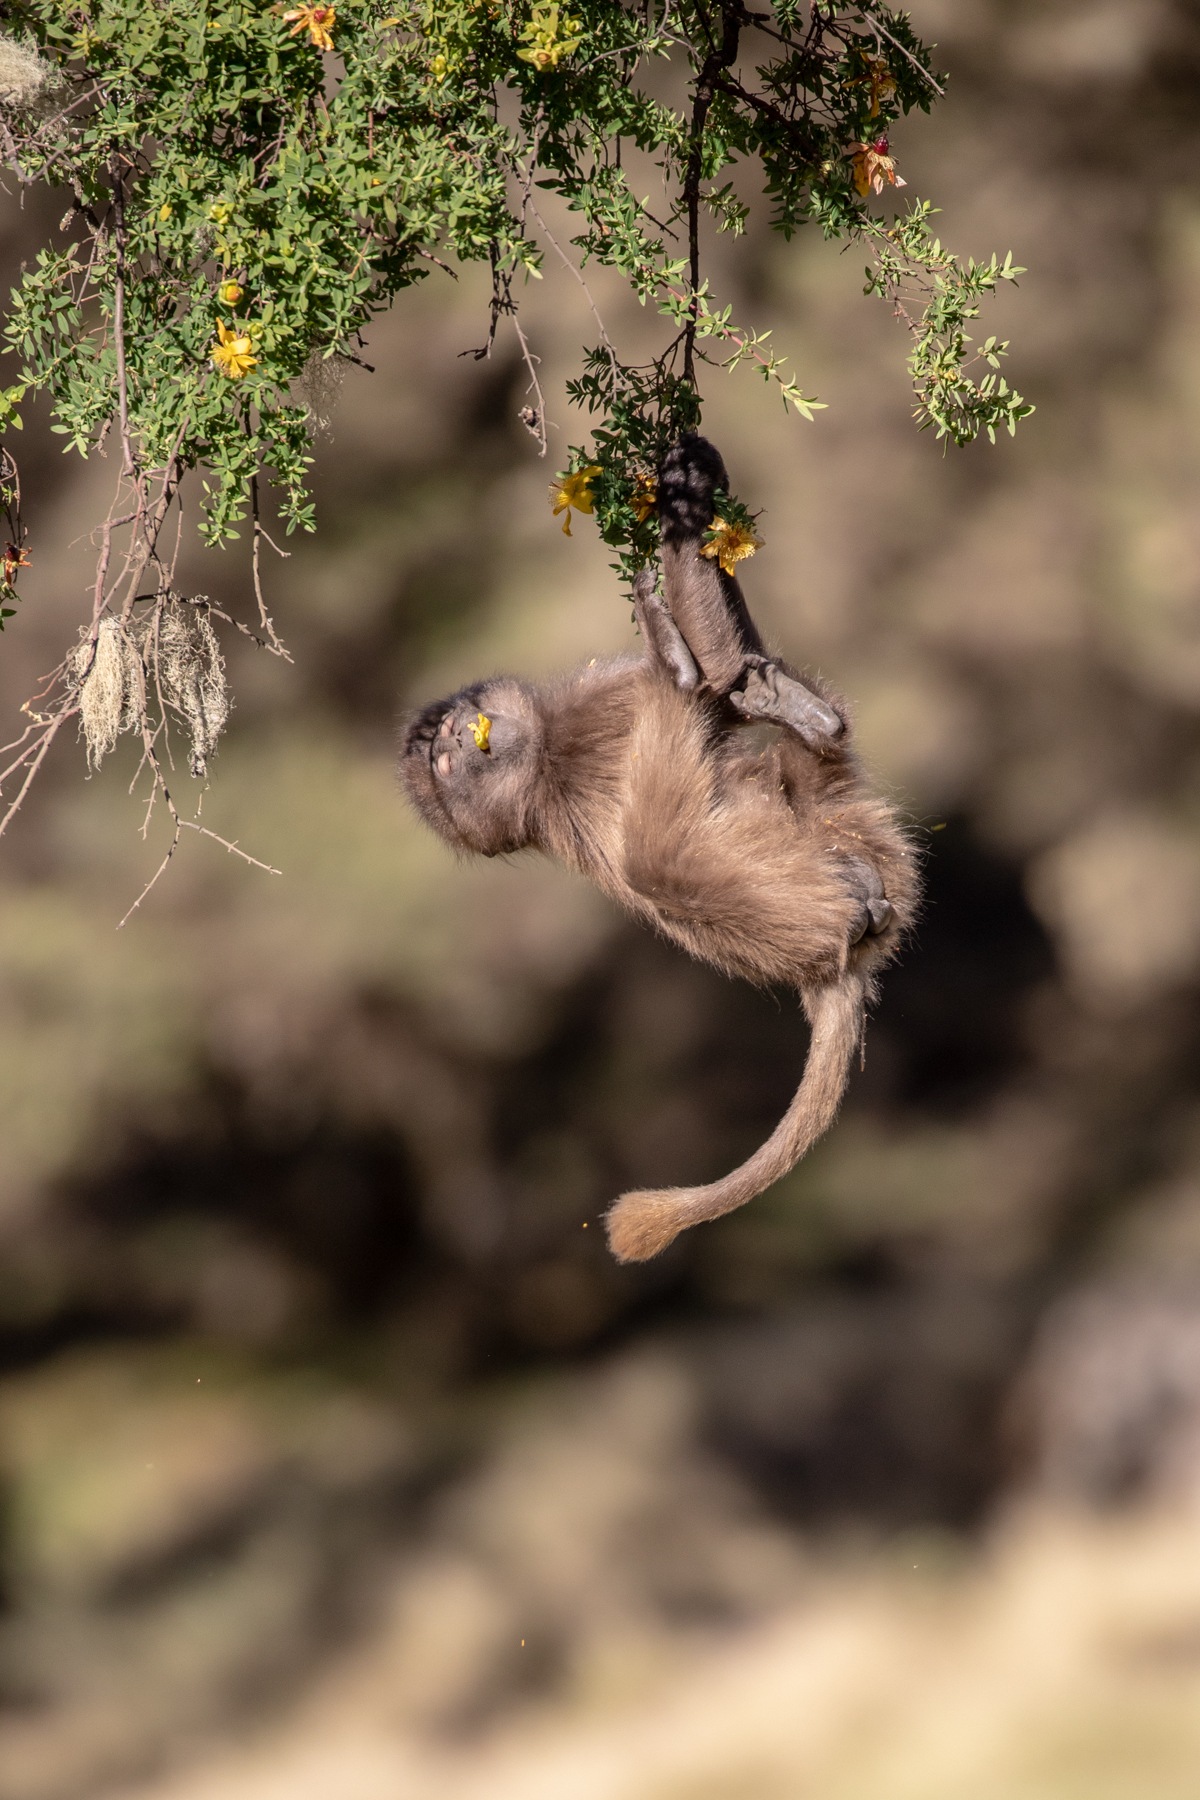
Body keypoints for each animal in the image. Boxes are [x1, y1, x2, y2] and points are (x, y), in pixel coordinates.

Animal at [401, 435, 920, 1263]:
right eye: (445, 768)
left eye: (448, 737)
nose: (454, 739)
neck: (542, 769)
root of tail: (833, 959)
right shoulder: (599, 706)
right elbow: (715, 673)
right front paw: (681, 504)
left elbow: (733, 668)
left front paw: (689, 479)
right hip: (812, 888)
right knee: (657, 846)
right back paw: (691, 671)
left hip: (849, 823)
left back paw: (801, 714)